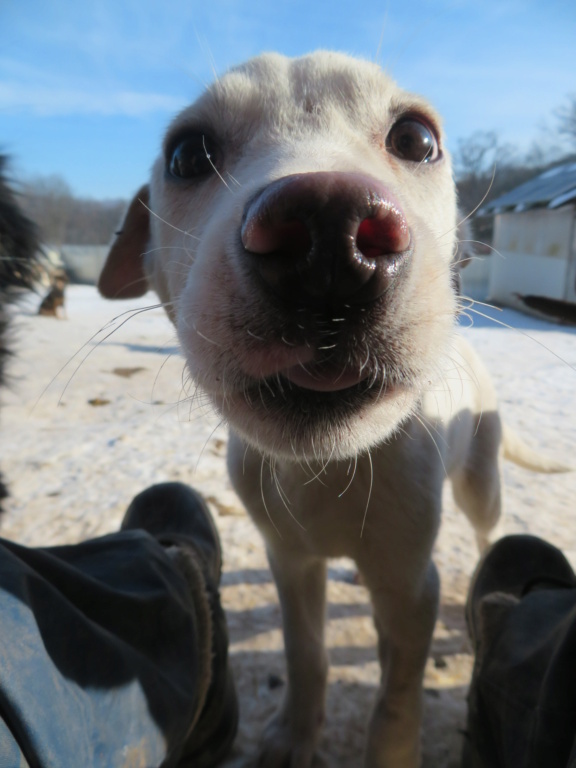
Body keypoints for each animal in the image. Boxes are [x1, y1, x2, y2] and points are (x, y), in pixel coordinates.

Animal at [98, 51, 560, 764]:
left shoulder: (412, 584)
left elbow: (397, 695)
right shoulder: (291, 563)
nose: (328, 231)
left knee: (486, 525)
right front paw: (295, 735)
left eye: (416, 139)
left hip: (480, 480)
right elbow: (306, 651)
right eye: (186, 154)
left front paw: (390, 748)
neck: (332, 469)